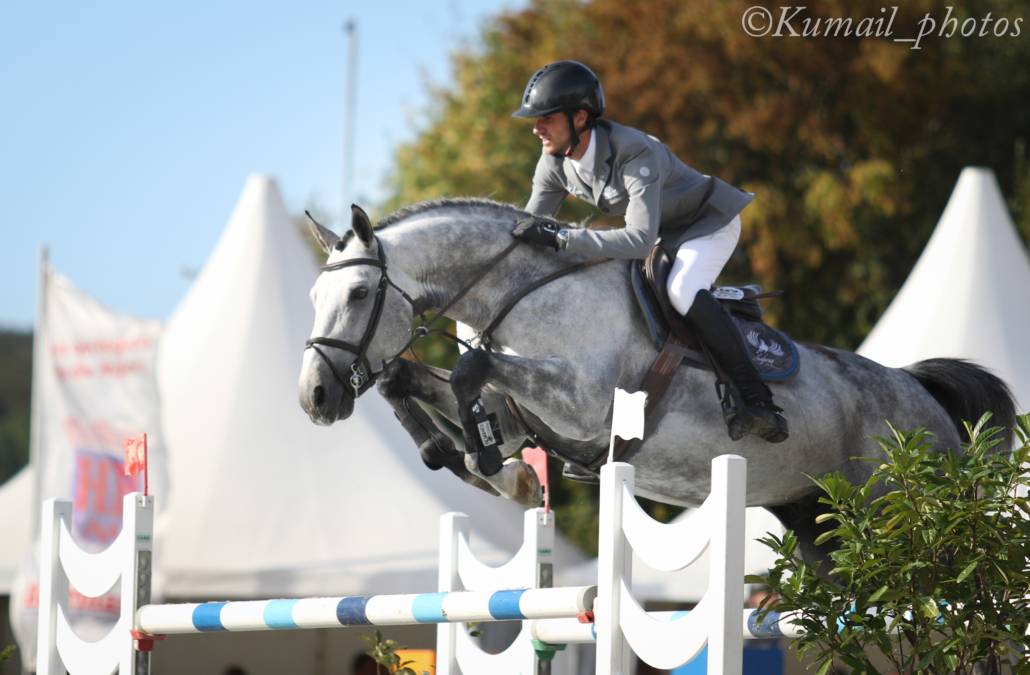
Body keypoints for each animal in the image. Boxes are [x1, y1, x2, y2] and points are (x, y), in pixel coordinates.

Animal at [297, 199, 1015, 564]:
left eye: (358, 293)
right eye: (313, 295)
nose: (313, 398)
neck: (518, 292)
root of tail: (923, 395)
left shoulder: (586, 405)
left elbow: (473, 373)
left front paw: (497, 469)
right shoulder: (524, 413)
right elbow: (409, 381)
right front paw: (483, 465)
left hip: (913, 526)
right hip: (823, 531)